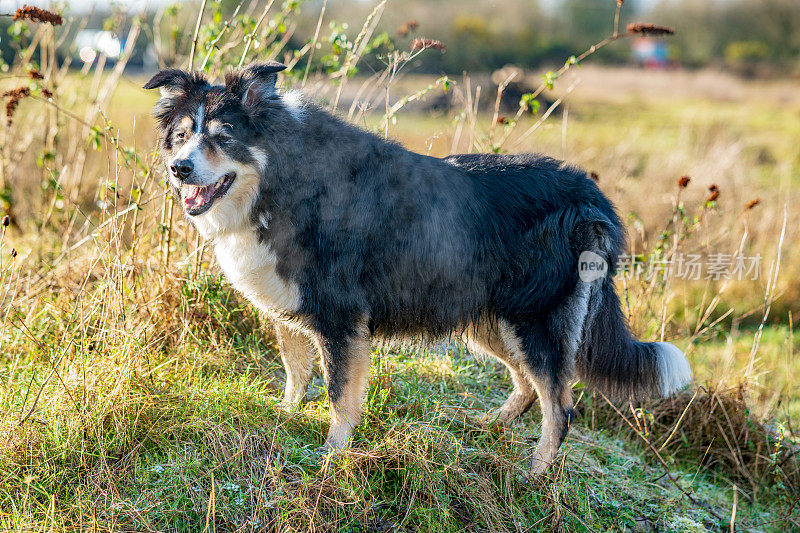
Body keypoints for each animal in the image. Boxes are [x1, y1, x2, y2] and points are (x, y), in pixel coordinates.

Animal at [145, 60, 692, 476]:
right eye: (182, 136)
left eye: (224, 137)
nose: (180, 169)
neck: (280, 180)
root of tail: (591, 195)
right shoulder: (290, 309)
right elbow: (295, 373)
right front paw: (285, 417)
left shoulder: (341, 319)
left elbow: (339, 395)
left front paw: (330, 458)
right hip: (492, 321)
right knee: (526, 386)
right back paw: (490, 427)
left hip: (532, 321)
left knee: (560, 406)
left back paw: (535, 474)